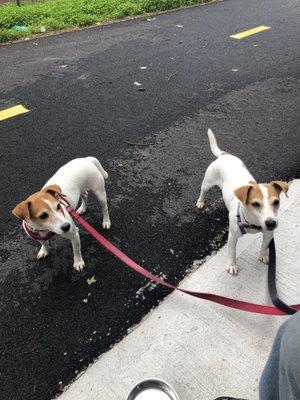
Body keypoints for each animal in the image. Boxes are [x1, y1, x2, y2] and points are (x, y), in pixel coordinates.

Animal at [197, 130, 288, 276]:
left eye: (276, 202)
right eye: (255, 204)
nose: (271, 223)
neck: (253, 223)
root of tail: (224, 155)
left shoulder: (268, 234)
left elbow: (264, 245)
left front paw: (263, 255)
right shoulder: (233, 236)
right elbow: (232, 252)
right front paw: (232, 265)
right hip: (207, 182)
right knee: (203, 192)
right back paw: (200, 202)